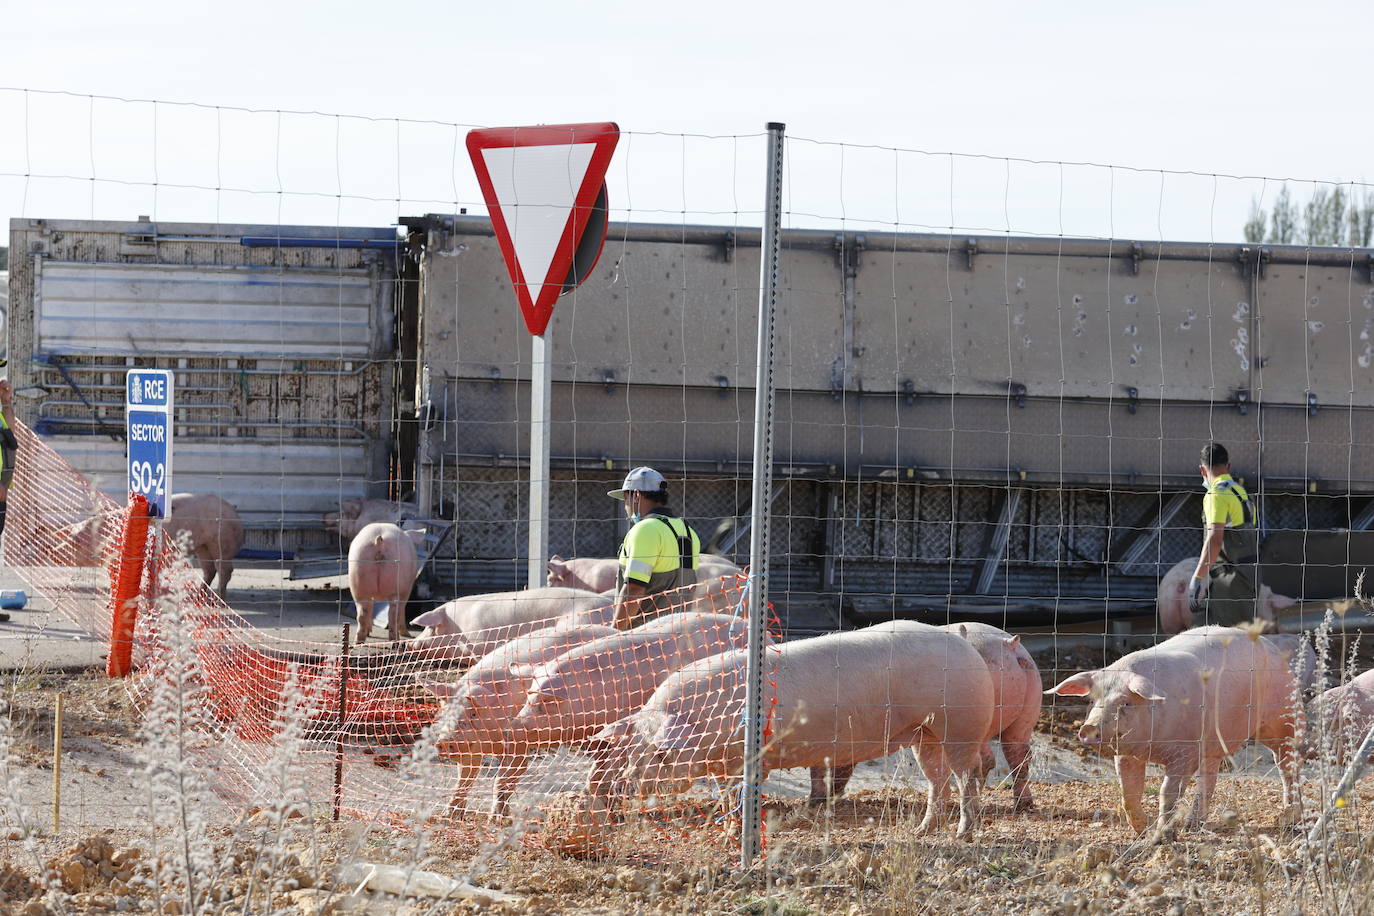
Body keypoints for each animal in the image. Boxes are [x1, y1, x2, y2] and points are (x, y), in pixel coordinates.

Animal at [428, 620, 618, 818]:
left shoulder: (518, 743)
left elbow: (505, 778)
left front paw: (496, 819)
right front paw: (447, 816)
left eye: (473, 713)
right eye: (446, 710)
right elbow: (465, 778)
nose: (443, 741)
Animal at [596, 623, 994, 840]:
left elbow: (739, 796)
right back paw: (921, 831)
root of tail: (962, 641)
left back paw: (963, 834)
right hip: (924, 733)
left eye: (661, 753)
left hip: (962, 724)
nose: (627, 783)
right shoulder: (724, 764)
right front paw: (729, 830)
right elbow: (725, 798)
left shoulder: (744, 760)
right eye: (632, 750)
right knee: (937, 780)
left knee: (967, 775)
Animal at [1044, 626, 1302, 834]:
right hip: (1212, 745)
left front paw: (1160, 834)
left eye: (1125, 703)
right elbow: (1129, 793)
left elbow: (1167, 792)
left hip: (1282, 717)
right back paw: (1192, 826)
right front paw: (1142, 832)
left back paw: (1289, 818)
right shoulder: (1127, 754)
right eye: (1092, 700)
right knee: (1209, 777)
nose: (1088, 728)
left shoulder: (1183, 752)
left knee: (1287, 765)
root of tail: (1271, 646)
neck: (1151, 747)